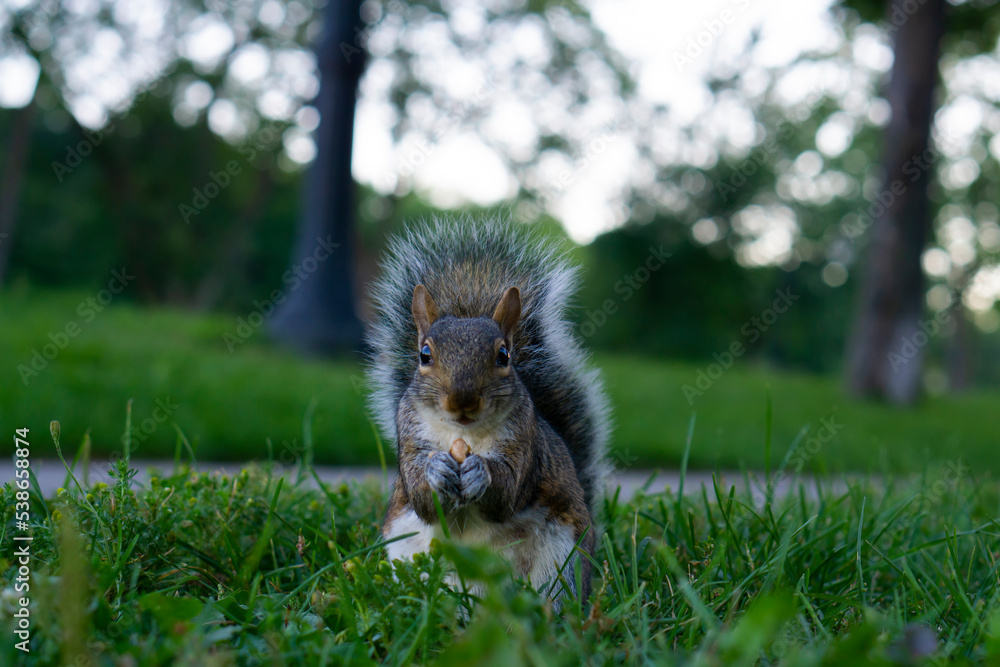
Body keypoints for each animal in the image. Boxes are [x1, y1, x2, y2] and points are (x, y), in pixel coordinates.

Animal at [366, 216, 611, 603]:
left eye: (503, 356)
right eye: (424, 355)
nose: (462, 401)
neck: (463, 434)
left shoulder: (525, 442)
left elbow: (508, 492)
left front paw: (481, 472)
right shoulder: (409, 433)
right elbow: (420, 496)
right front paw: (436, 469)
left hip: (561, 563)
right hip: (409, 559)